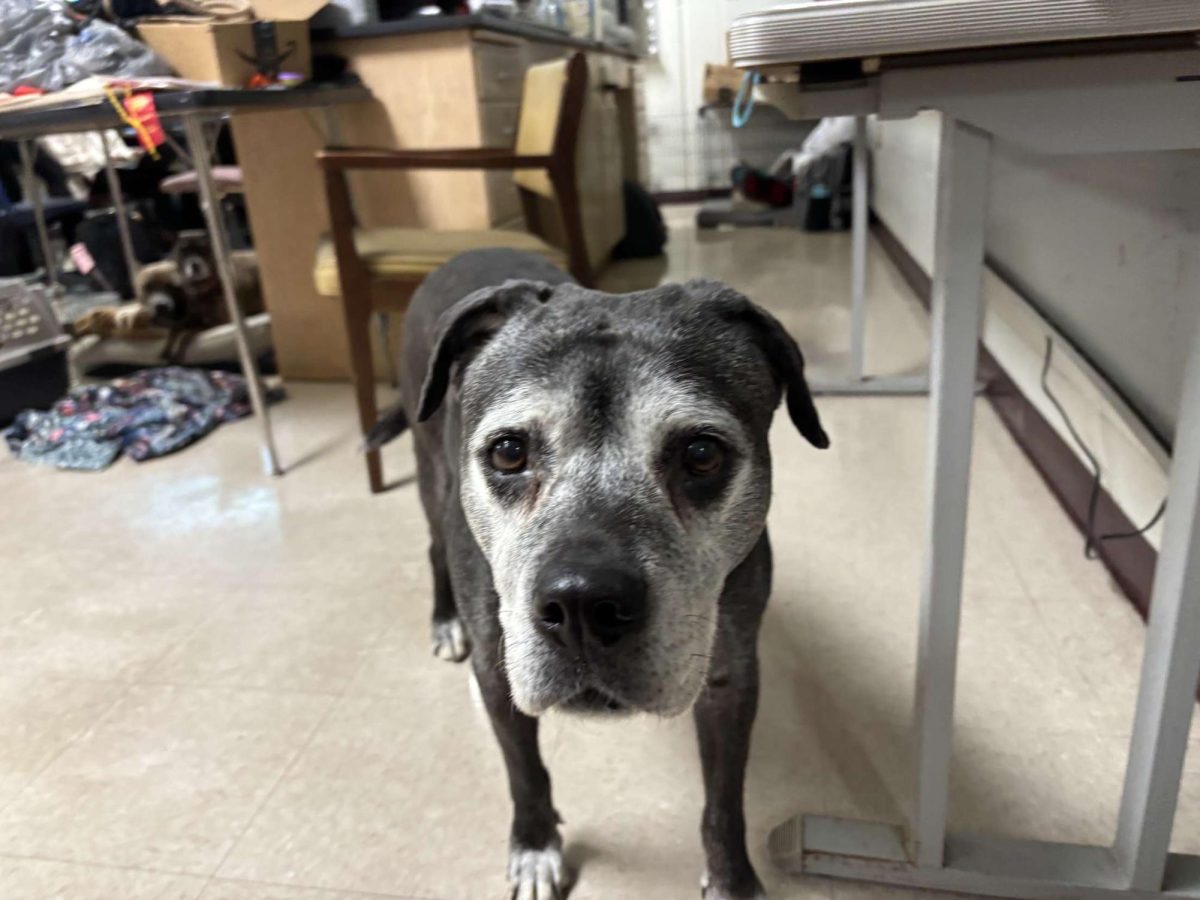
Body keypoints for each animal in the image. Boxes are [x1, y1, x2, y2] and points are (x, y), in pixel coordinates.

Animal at [369, 247, 830, 900]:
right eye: (509, 451)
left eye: (701, 454)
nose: (583, 606)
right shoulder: (500, 671)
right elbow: (525, 771)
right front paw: (535, 847)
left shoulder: (731, 675)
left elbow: (724, 797)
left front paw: (731, 879)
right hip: (433, 478)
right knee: (434, 547)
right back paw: (444, 621)